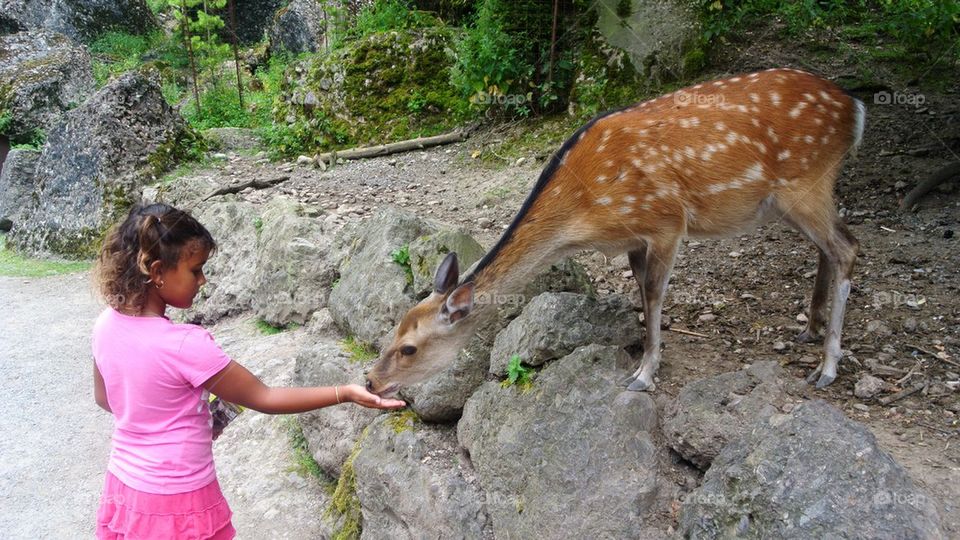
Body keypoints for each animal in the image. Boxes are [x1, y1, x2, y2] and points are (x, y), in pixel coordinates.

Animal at [365, 68, 865, 397]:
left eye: (409, 349)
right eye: (391, 331)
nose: (369, 379)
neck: (585, 214)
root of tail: (855, 108)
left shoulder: (666, 222)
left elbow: (654, 294)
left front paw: (643, 375)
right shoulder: (634, 240)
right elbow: (640, 292)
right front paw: (642, 354)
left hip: (806, 181)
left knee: (848, 246)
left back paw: (826, 367)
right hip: (795, 198)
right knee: (829, 245)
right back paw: (810, 329)